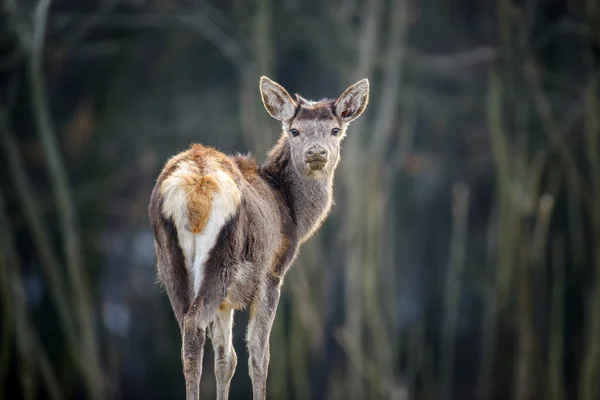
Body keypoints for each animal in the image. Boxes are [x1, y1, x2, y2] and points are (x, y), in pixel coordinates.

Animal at [148, 76, 368, 400]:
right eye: (294, 130)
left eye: (335, 130)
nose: (316, 152)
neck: (292, 214)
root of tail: (195, 185)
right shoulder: (272, 272)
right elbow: (259, 355)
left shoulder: (227, 302)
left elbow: (226, 359)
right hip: (222, 256)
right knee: (195, 323)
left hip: (169, 259)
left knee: (188, 332)